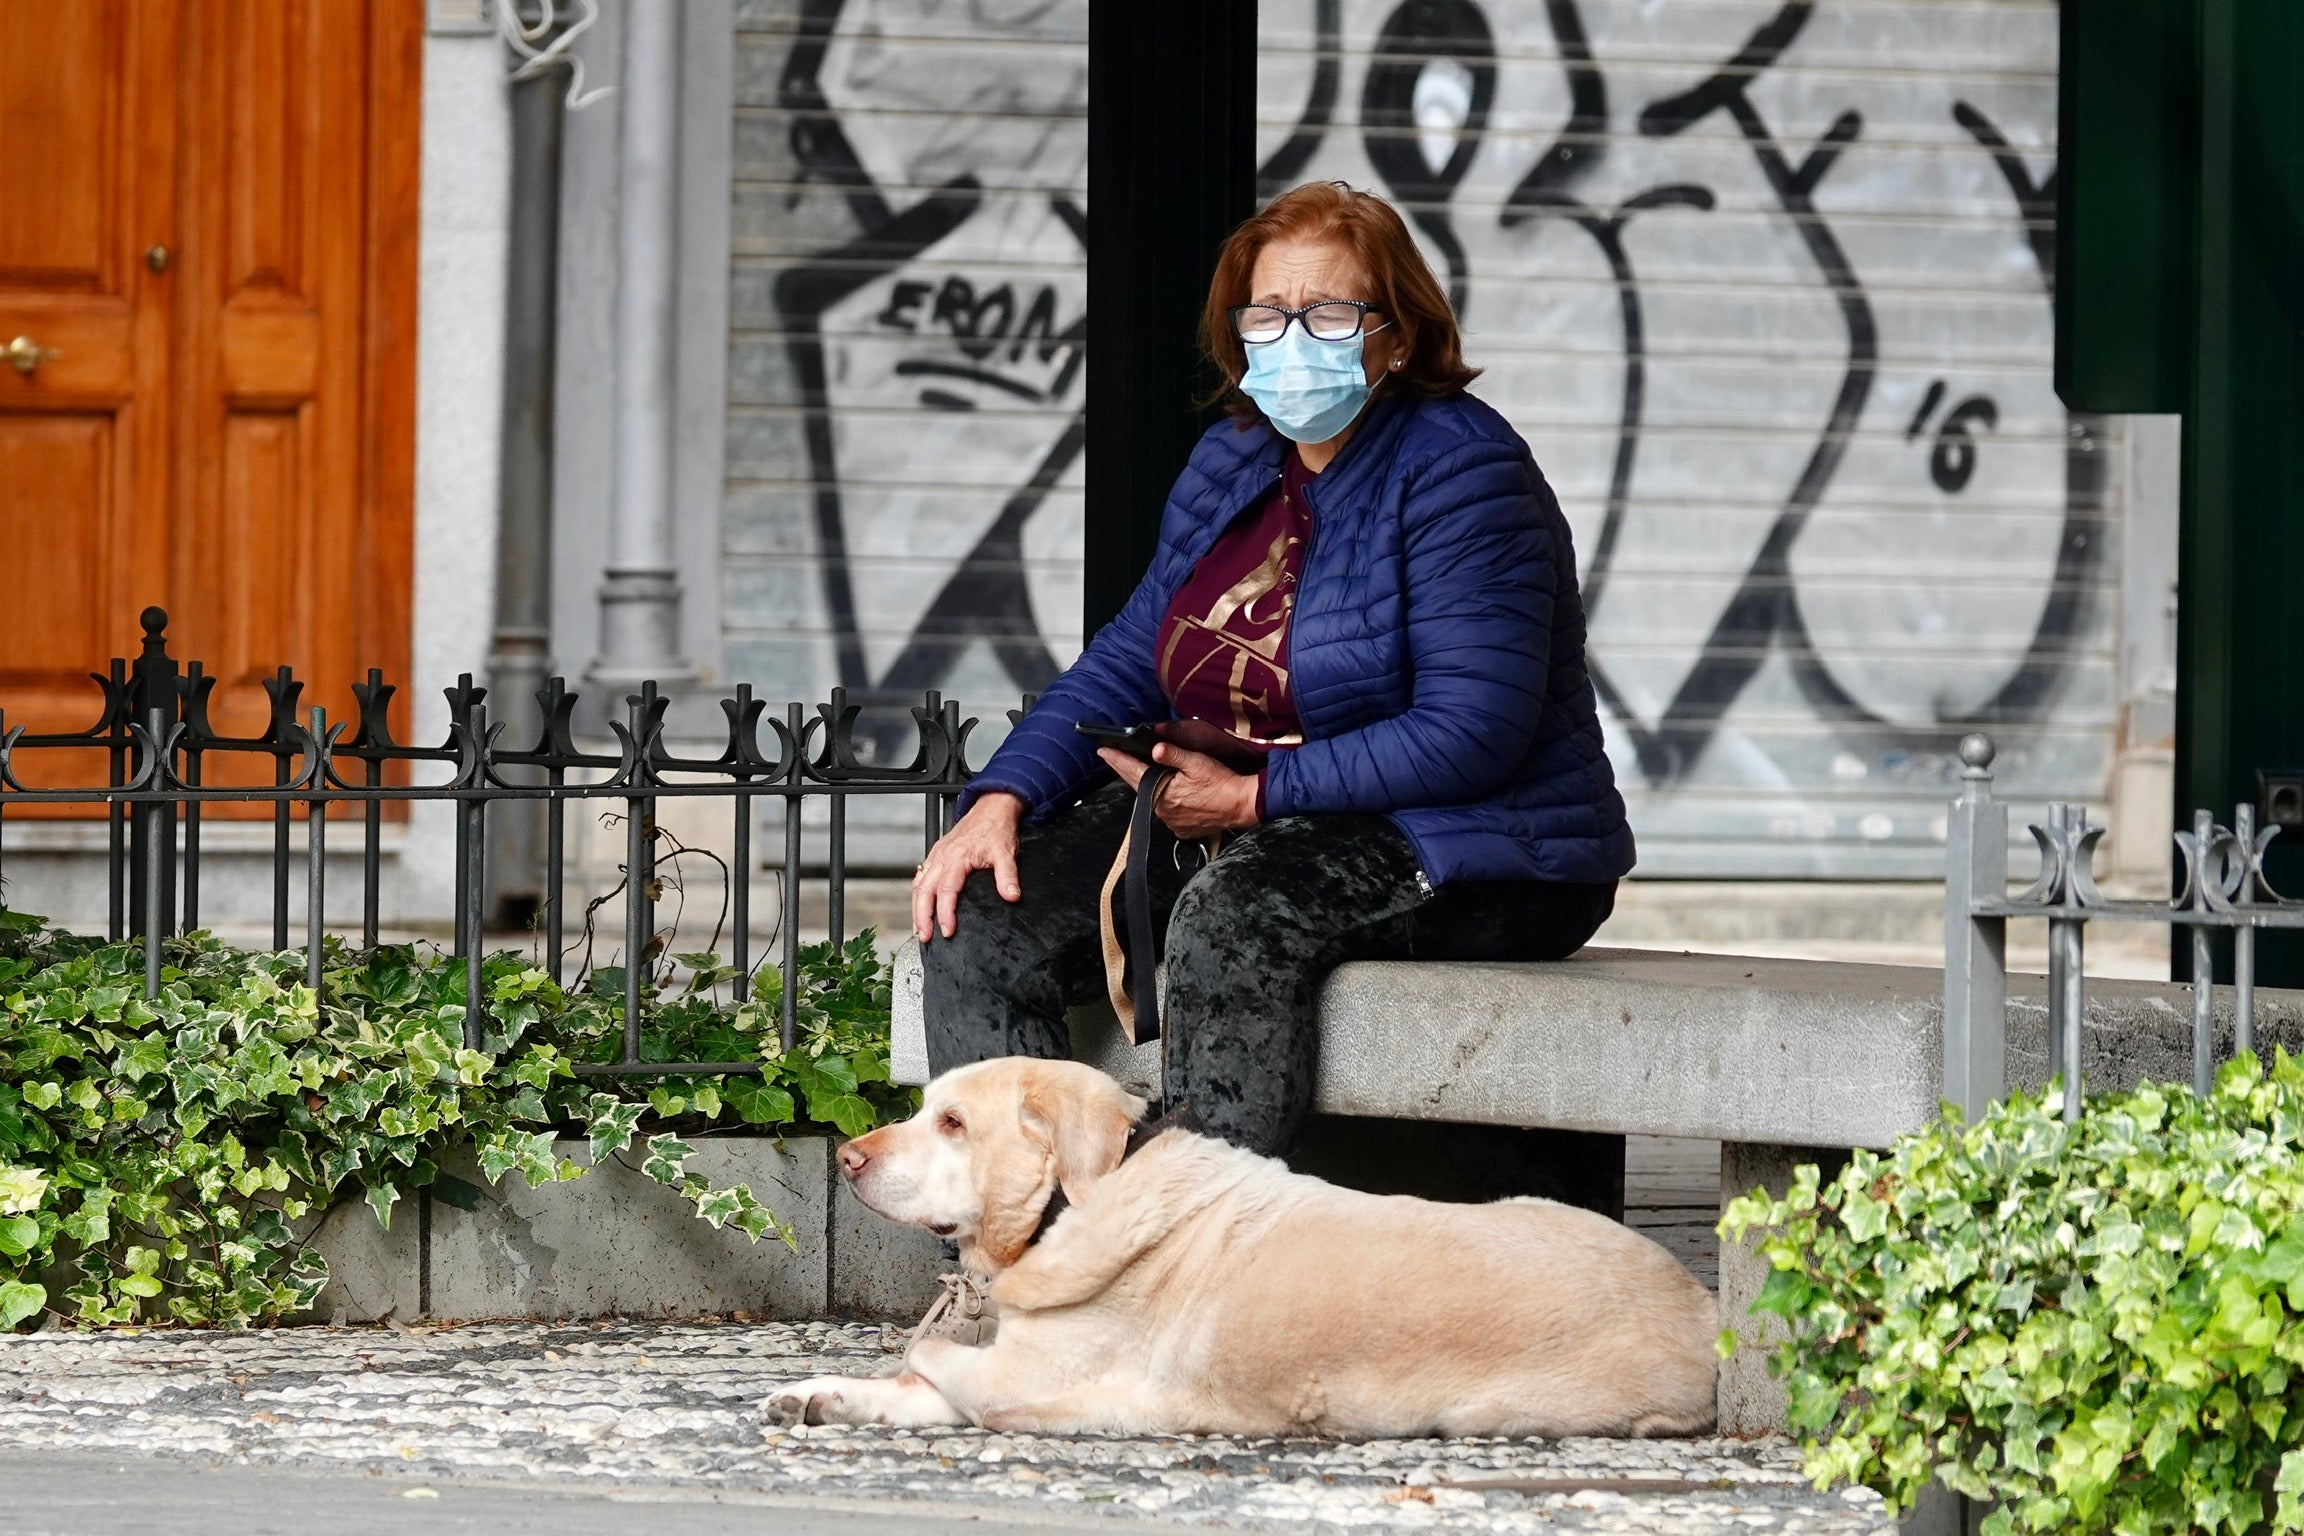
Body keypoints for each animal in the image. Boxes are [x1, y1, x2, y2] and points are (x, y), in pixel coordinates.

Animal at [764, 1063, 1723, 1436]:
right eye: (929, 1108)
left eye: (954, 1124)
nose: (848, 1157)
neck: (1074, 1204)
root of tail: (1708, 1309)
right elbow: (914, 1383)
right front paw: (822, 1394)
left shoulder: (1027, 1382)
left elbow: (930, 1359)